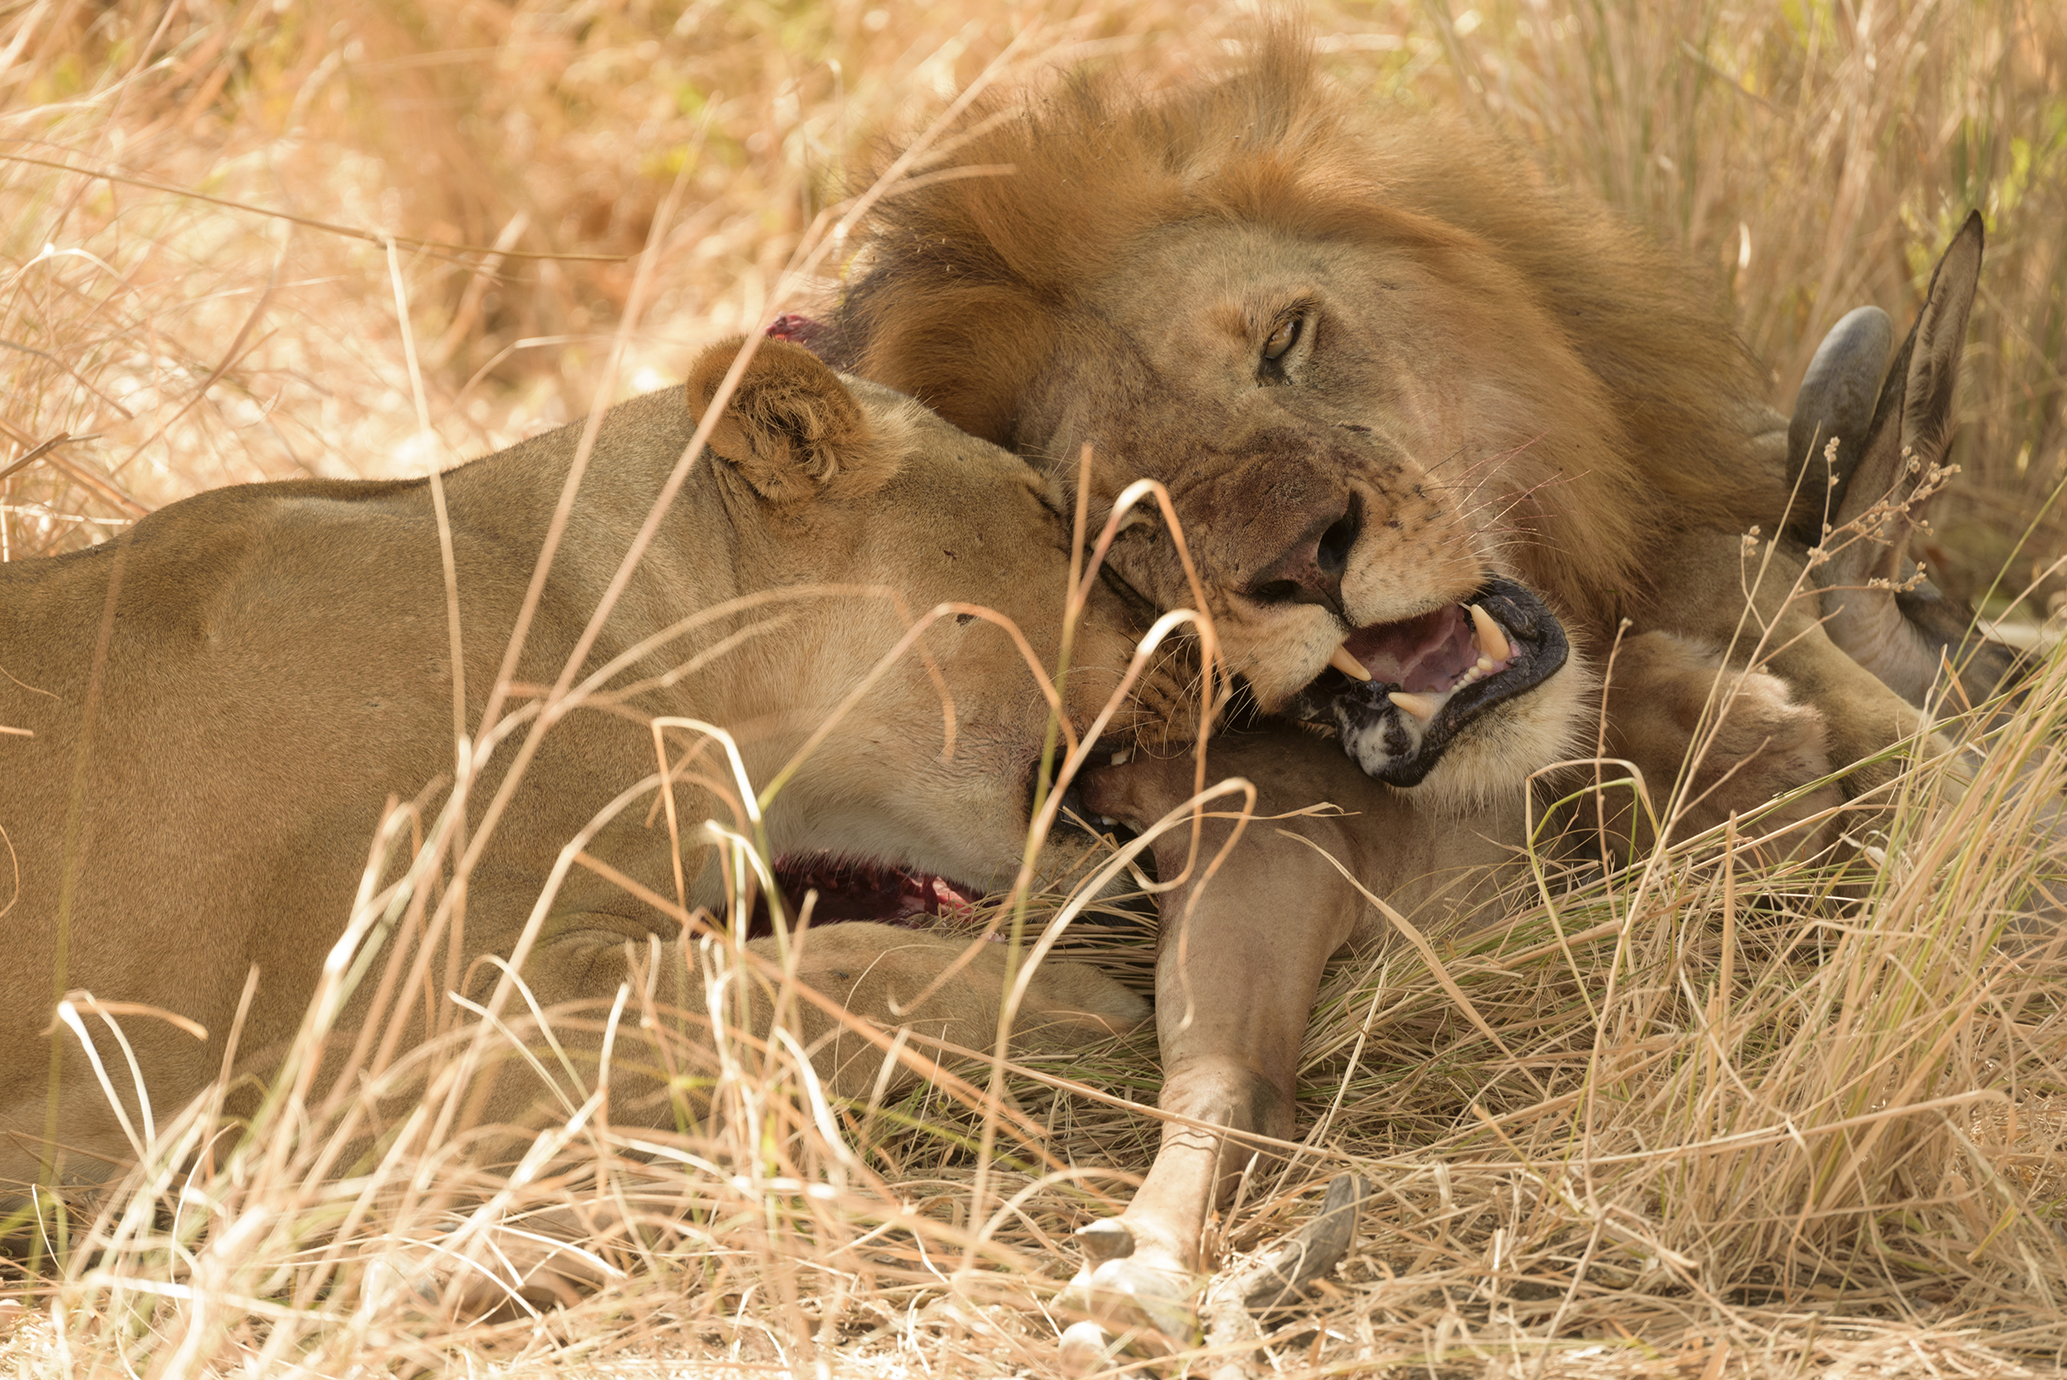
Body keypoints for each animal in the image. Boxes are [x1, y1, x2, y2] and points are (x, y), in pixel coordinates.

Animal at [826, 31, 2020, 1367]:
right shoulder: (1255, 847)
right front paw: (1141, 1277)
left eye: (1285, 341)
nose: (1304, 563)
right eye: (1126, 513)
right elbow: (1220, 1081)